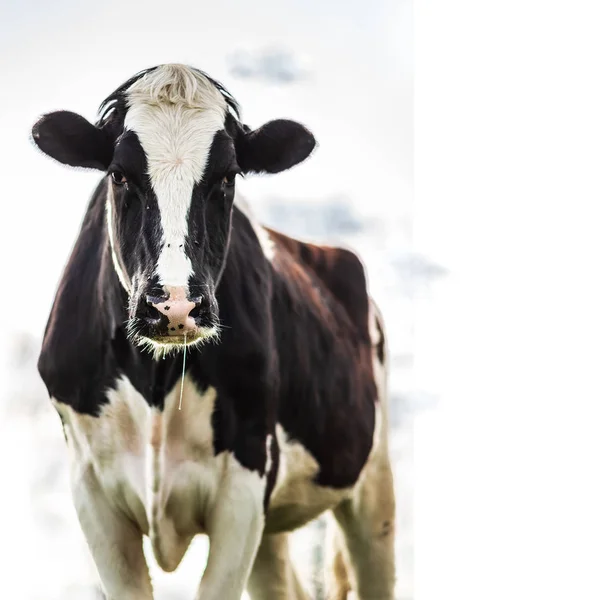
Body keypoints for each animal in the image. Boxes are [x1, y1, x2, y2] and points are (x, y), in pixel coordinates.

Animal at [34, 64, 398, 600]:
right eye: (119, 175)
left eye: (227, 177)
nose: (175, 305)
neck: (156, 383)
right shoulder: (92, 490)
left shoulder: (244, 484)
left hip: (372, 487)